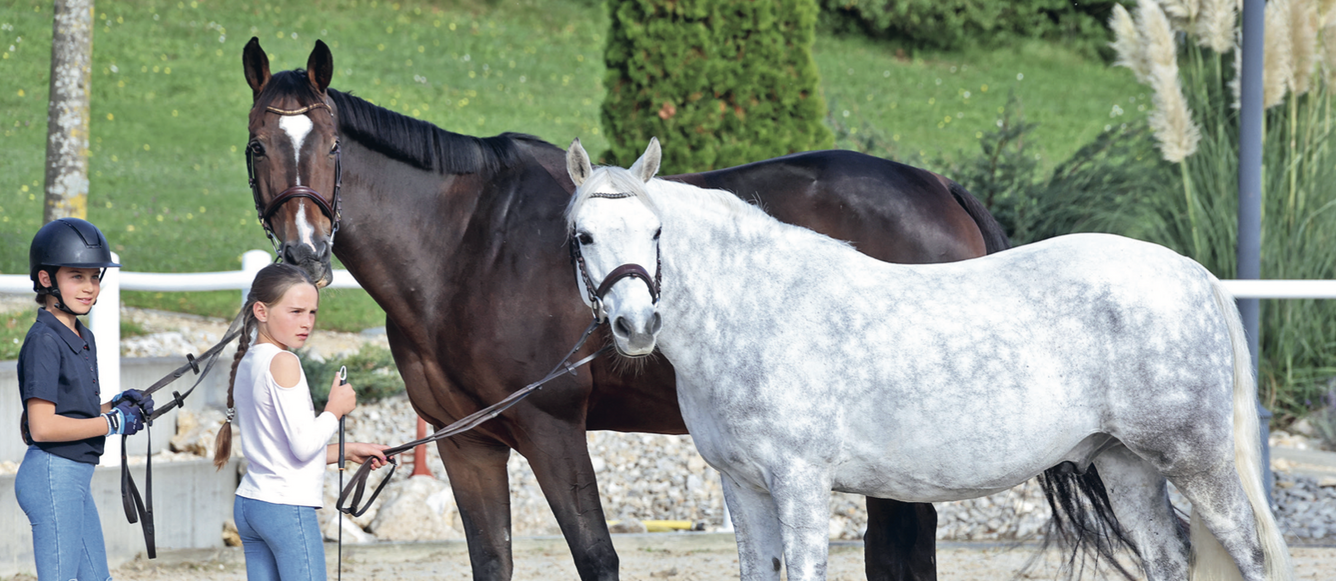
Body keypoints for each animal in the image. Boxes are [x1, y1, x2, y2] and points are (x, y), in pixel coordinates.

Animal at [239, 38, 1107, 581]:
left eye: (328, 142)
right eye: (257, 145)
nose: (304, 254)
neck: (468, 242)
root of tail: (937, 186)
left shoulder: (553, 426)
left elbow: (597, 555)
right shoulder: (467, 442)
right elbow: (492, 559)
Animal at [563, 138, 1294, 581]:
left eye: (657, 231)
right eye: (583, 235)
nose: (635, 324)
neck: (761, 308)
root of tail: (1195, 275)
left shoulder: (800, 481)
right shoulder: (742, 486)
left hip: (1196, 461)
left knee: (1249, 552)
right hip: (1126, 464)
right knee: (1169, 555)